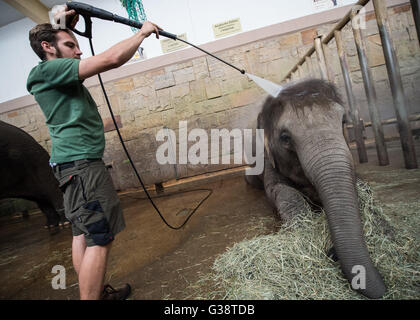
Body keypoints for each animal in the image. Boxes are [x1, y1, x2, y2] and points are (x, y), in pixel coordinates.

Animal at [246, 79, 388, 298]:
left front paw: (383, 225)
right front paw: (301, 228)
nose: (332, 253)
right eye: (285, 137)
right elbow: (280, 189)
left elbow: (359, 183)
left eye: (343, 121)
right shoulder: (268, 161)